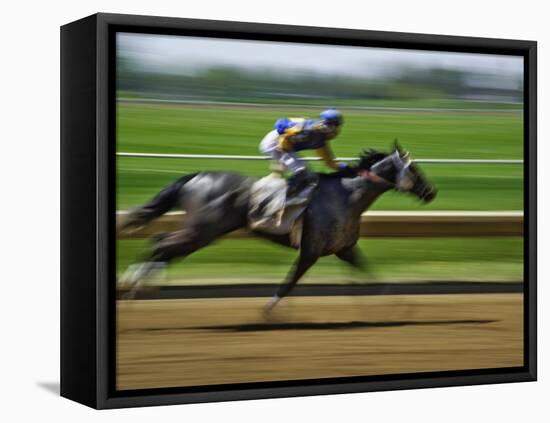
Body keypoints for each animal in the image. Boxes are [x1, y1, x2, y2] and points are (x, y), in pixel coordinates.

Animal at [118, 143, 438, 308]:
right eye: (415, 169)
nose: (431, 192)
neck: (347, 196)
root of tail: (196, 176)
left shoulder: (344, 249)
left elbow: (374, 278)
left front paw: (401, 307)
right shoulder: (310, 250)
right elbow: (287, 284)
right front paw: (268, 312)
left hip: (201, 233)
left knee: (163, 247)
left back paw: (137, 287)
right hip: (202, 230)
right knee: (160, 243)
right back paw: (132, 285)